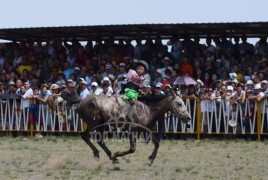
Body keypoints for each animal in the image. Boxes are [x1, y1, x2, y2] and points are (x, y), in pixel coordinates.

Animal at [61, 90, 191, 166]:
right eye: (179, 103)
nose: (188, 117)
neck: (147, 109)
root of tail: (81, 100)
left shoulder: (147, 130)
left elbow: (157, 143)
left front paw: (150, 159)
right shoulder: (132, 130)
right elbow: (132, 149)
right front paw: (117, 154)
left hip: (99, 124)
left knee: (94, 139)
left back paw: (109, 157)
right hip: (94, 123)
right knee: (89, 137)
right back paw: (108, 155)